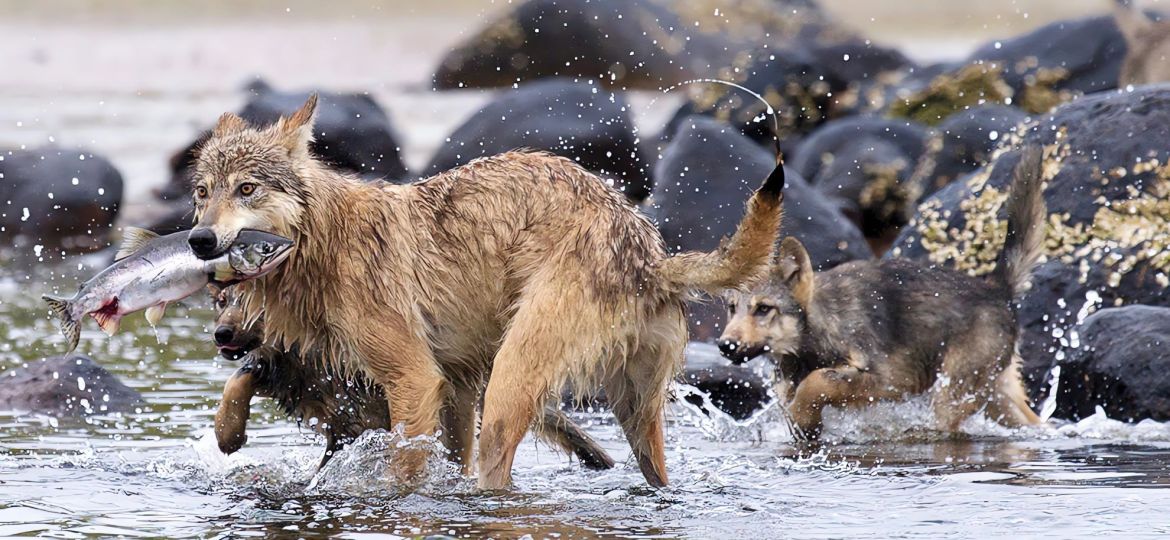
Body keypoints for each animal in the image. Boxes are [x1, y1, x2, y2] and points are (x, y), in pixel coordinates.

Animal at [184, 95, 786, 488]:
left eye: (247, 189)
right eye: (202, 193)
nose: (198, 239)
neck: (323, 240)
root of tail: (650, 255)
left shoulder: (414, 380)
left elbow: (404, 474)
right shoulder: (450, 388)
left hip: (507, 388)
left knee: (499, 478)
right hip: (634, 416)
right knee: (653, 474)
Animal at [716, 145, 1048, 441]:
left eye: (763, 309)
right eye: (732, 308)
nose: (725, 346)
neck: (820, 329)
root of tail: (997, 289)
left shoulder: (890, 380)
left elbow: (819, 381)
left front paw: (804, 413)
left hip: (953, 391)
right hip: (995, 394)